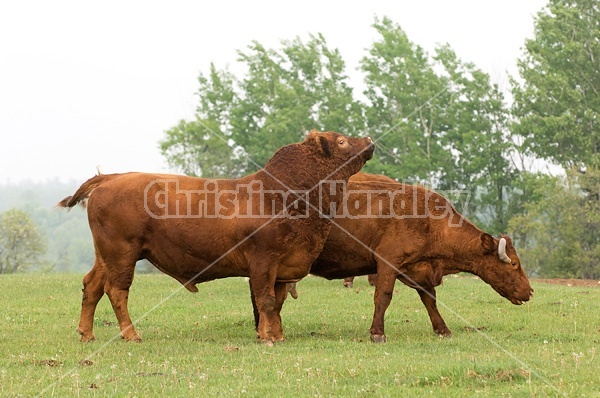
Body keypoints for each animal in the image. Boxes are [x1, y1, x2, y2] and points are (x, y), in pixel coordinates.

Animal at [58, 131, 372, 346]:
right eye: (341, 141)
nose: (368, 139)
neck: (280, 193)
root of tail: (110, 178)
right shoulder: (263, 262)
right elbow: (266, 300)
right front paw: (266, 337)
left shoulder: (284, 266)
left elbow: (277, 302)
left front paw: (278, 335)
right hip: (122, 254)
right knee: (116, 290)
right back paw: (131, 334)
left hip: (106, 256)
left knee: (92, 285)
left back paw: (87, 334)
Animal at [308, 173, 532, 344]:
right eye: (514, 263)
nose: (530, 291)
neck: (431, 221)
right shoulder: (388, 263)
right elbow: (383, 296)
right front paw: (378, 333)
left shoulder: (419, 269)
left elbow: (430, 299)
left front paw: (443, 329)